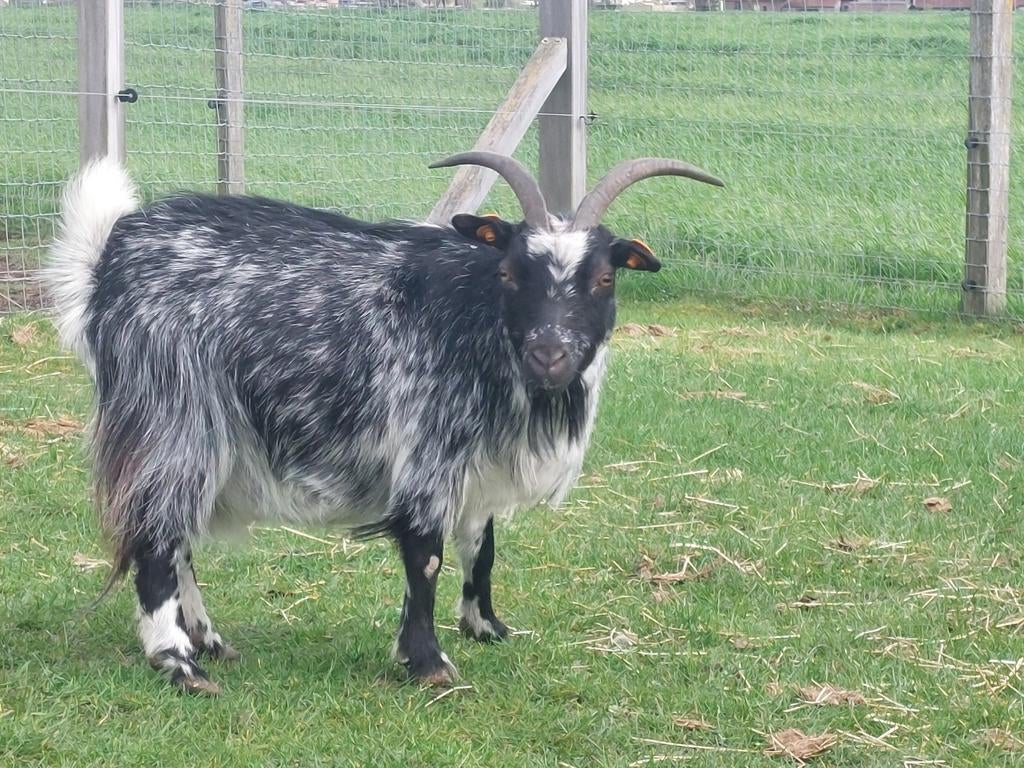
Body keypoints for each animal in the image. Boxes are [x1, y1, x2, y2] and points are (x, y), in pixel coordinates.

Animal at [45, 151, 722, 695]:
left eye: (604, 277)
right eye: (509, 272)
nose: (549, 355)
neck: (477, 321)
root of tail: (110, 257)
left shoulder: (476, 463)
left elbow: (482, 547)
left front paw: (486, 626)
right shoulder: (428, 450)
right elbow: (426, 556)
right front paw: (428, 664)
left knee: (177, 533)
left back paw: (208, 640)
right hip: (172, 416)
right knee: (156, 537)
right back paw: (180, 663)